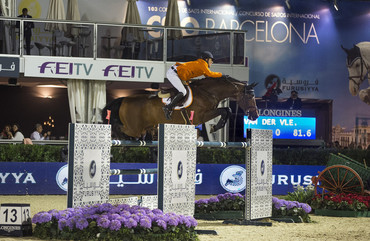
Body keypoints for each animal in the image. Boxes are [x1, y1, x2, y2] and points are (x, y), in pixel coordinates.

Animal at [101, 75, 258, 139]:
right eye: (250, 97)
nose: (255, 115)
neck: (208, 92)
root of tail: (123, 99)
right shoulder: (201, 116)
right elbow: (226, 110)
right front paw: (215, 127)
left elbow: (227, 110)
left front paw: (215, 126)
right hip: (134, 128)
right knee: (118, 129)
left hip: (143, 128)